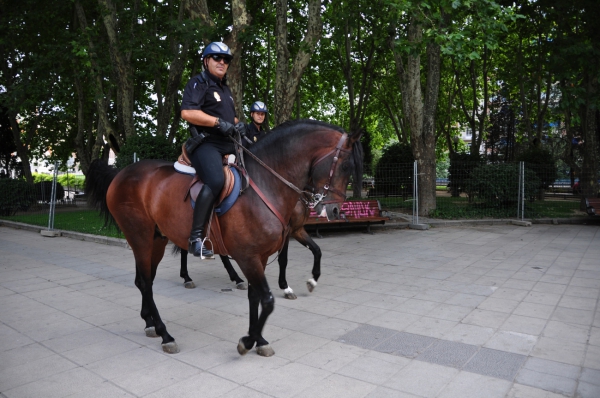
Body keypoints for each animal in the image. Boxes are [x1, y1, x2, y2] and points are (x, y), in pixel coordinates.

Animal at [86, 119, 364, 356]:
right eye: (345, 166)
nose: (335, 211)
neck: (265, 184)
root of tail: (122, 173)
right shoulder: (248, 256)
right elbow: (267, 299)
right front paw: (248, 341)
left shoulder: (262, 255)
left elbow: (257, 296)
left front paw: (259, 339)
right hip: (140, 236)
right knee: (145, 282)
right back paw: (166, 334)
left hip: (158, 238)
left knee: (145, 280)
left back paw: (150, 322)